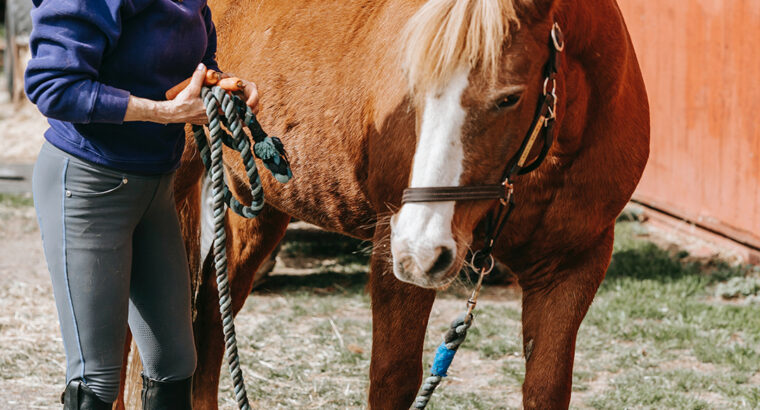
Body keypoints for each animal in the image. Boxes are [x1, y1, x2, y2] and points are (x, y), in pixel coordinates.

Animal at [169, 0, 652, 410]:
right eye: (414, 89)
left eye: (509, 97)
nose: (421, 250)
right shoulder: (392, 251)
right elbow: (393, 380)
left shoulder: (572, 268)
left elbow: (547, 387)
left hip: (260, 206)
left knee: (214, 309)